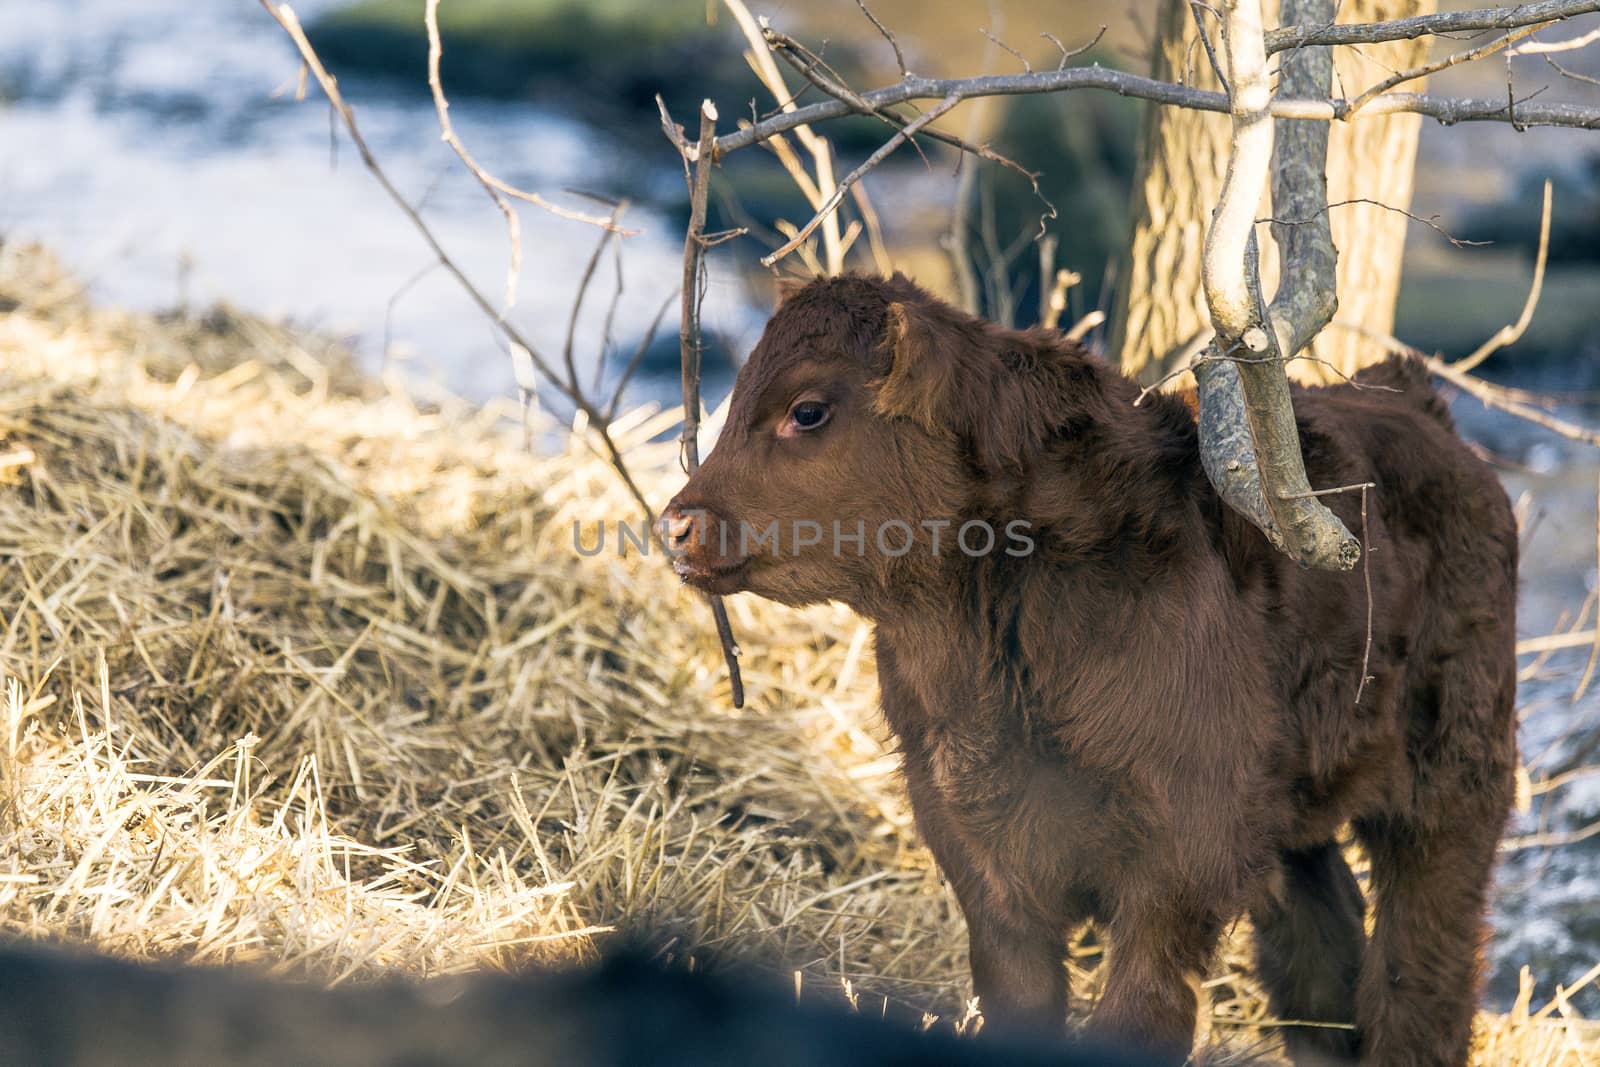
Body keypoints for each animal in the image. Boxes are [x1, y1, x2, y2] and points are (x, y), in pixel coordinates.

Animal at [665, 275, 1523, 1067]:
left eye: (808, 409)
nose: (677, 523)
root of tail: (1413, 402)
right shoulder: (979, 854)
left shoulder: (1180, 858)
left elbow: (1140, 1017)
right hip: (1294, 798)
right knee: (1322, 947)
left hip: (1454, 776)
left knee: (1424, 962)